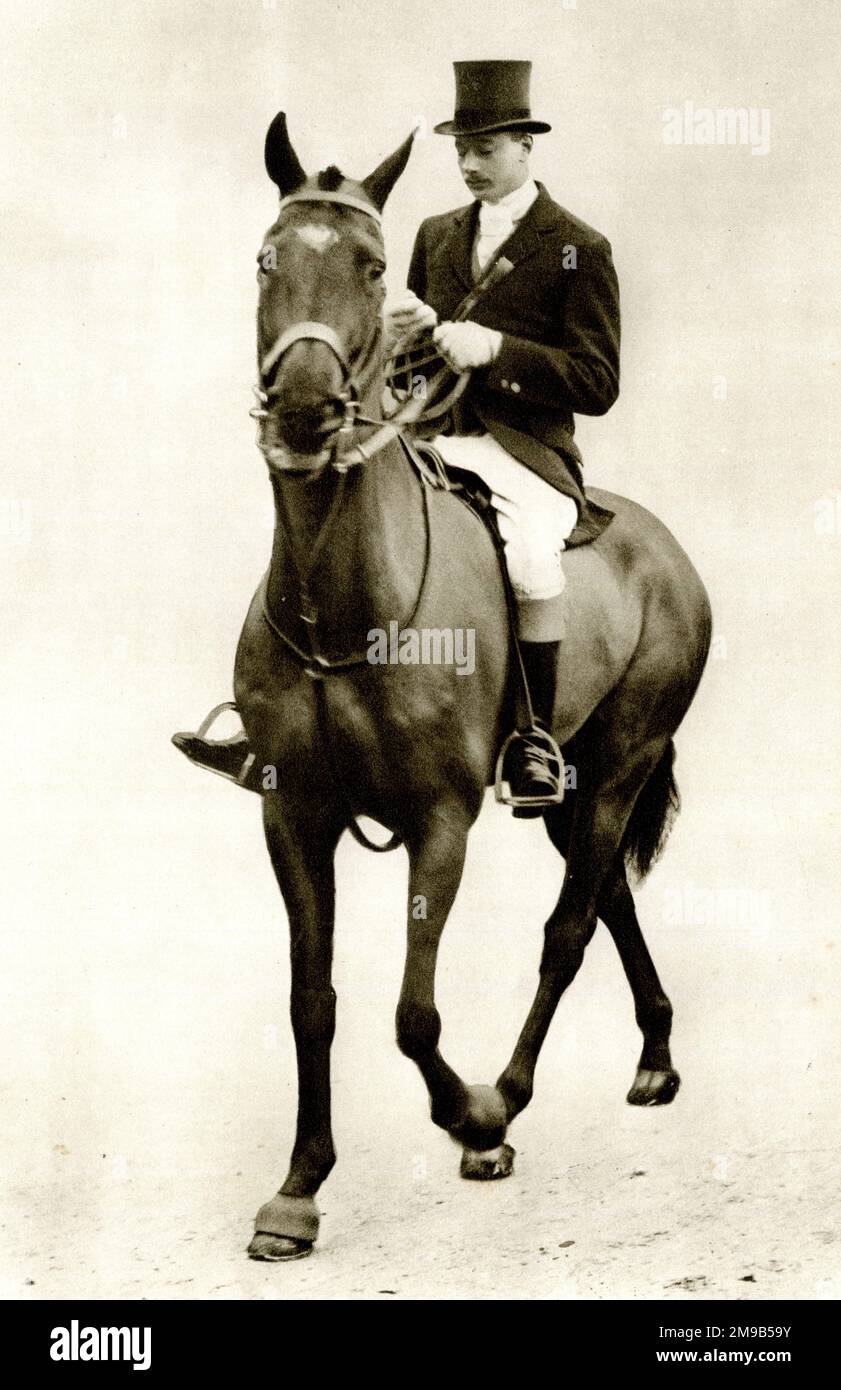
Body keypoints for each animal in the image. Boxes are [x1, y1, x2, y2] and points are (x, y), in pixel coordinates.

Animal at [227, 116, 708, 1262]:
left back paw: (512, 1097)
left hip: (617, 766)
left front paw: (473, 1117)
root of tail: (663, 547)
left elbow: (413, 1013)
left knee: (568, 928)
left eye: (370, 266)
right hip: (570, 783)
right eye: (267, 259)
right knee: (607, 894)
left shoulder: (438, 819)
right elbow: (312, 1000)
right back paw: (654, 1056)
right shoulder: (290, 813)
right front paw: (298, 1190)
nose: (304, 415)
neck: (341, 598)